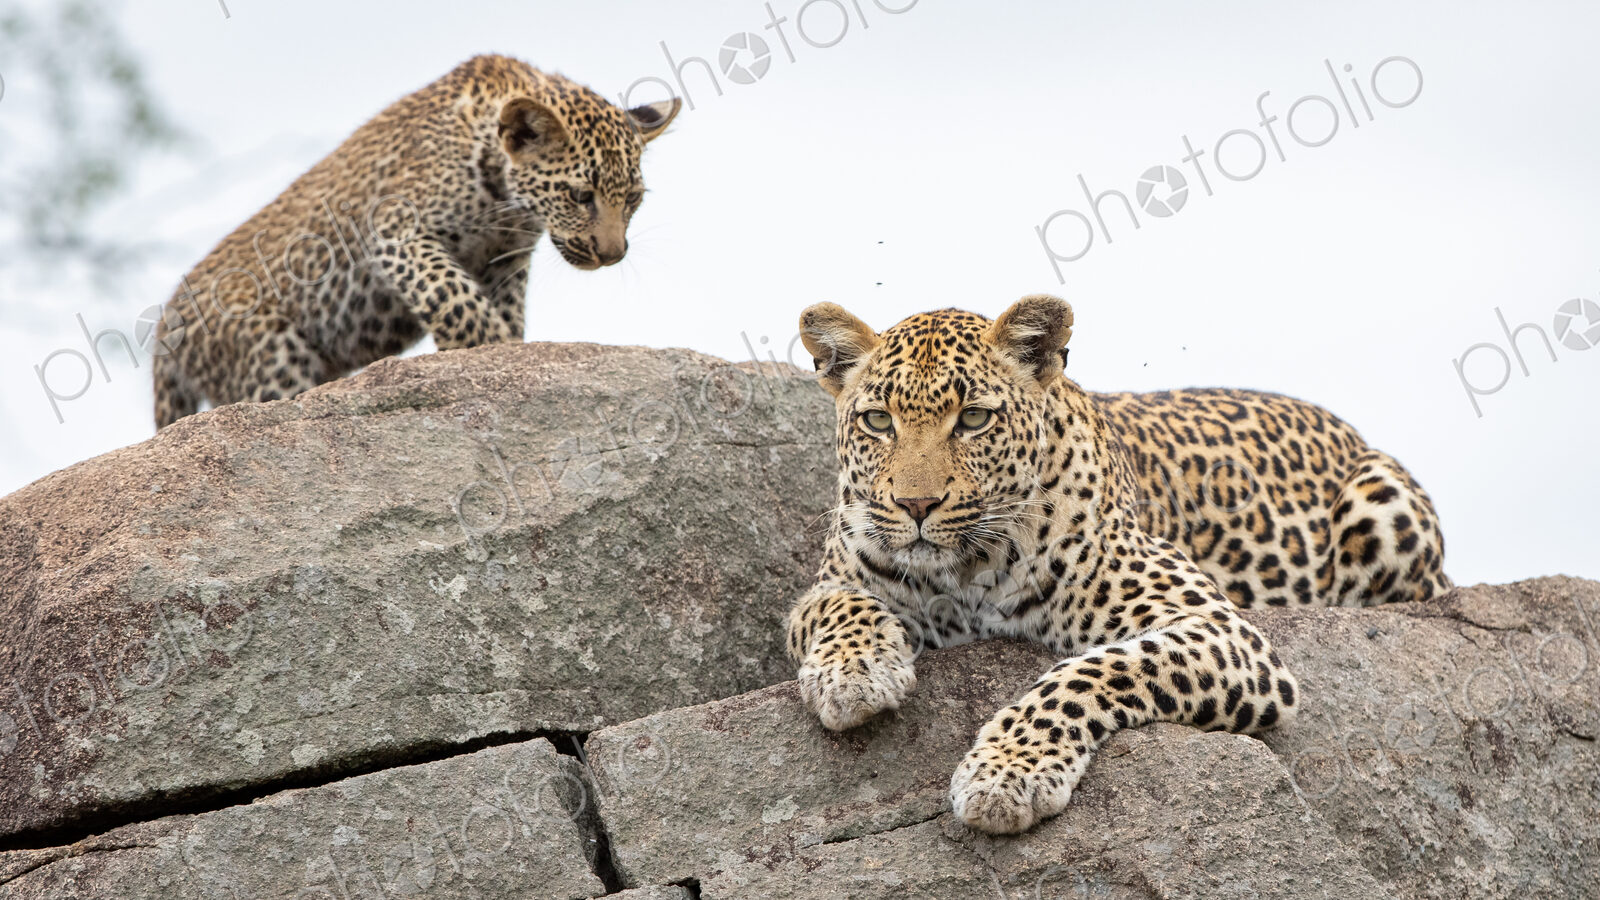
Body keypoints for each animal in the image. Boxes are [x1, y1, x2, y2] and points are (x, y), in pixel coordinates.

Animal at [151, 54, 680, 428]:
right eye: (580, 195)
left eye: (633, 198)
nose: (611, 255)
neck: (505, 202)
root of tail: (166, 320)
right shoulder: (396, 233)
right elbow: (456, 298)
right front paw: (484, 354)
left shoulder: (506, 260)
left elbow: (502, 312)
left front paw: (507, 357)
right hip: (271, 355)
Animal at [787, 294, 1452, 834]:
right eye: (878, 421)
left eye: (974, 418)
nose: (916, 505)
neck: (970, 572)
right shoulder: (831, 581)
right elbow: (838, 607)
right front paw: (854, 675)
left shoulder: (1219, 627)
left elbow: (1092, 671)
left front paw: (1006, 772)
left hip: (1383, 501)